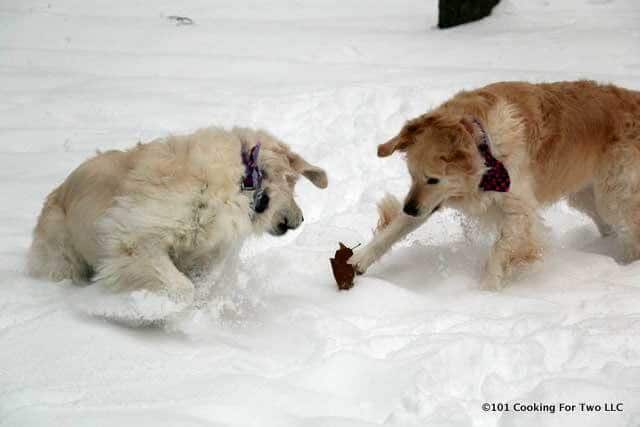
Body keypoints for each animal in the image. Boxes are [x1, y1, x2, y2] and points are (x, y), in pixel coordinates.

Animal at [27, 128, 328, 304]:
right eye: (293, 184)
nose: (300, 220)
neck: (243, 177)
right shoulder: (136, 241)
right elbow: (182, 288)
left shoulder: (205, 251)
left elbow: (201, 283)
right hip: (63, 256)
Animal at [348, 80, 640, 290]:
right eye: (411, 175)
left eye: (433, 178)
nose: (409, 208)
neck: (486, 151)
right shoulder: (428, 201)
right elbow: (393, 231)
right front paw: (358, 260)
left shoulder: (520, 212)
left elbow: (499, 250)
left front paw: (486, 294)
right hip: (586, 194)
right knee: (608, 225)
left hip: (614, 194)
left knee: (630, 229)